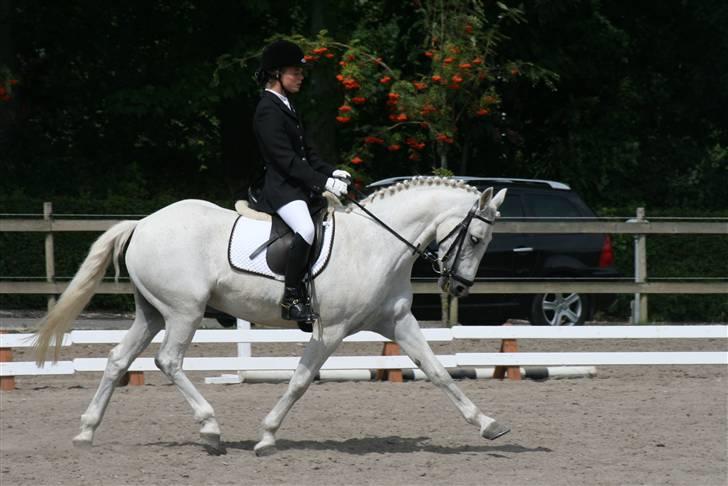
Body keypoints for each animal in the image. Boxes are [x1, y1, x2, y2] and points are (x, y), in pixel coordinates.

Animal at [34, 176, 508, 456]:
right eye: (476, 237)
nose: (459, 287)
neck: (377, 244)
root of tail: (144, 223)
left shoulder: (398, 322)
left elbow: (438, 371)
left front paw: (488, 425)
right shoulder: (331, 330)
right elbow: (300, 380)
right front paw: (266, 436)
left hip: (152, 313)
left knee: (118, 359)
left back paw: (86, 432)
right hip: (184, 311)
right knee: (168, 360)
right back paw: (211, 430)